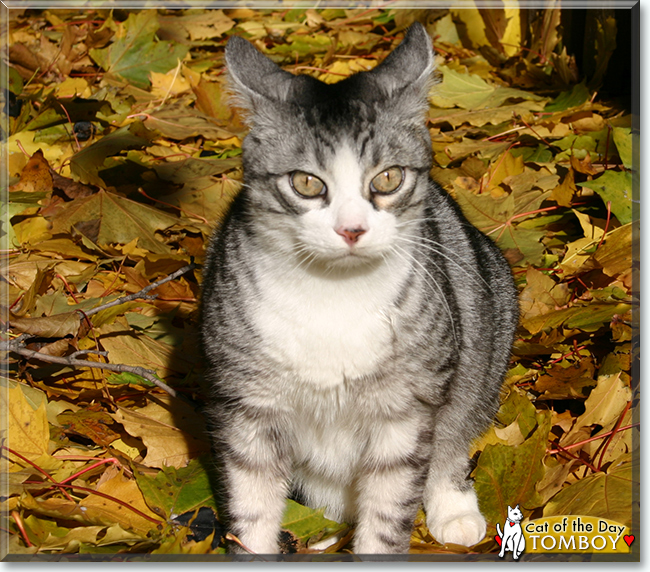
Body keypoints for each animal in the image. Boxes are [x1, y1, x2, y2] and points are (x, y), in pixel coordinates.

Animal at [200, 22, 520, 556]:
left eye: (388, 178)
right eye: (307, 184)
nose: (351, 229)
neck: (333, 296)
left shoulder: (406, 407)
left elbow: (391, 503)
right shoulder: (248, 404)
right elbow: (252, 505)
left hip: (486, 326)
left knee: (454, 434)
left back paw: (453, 507)